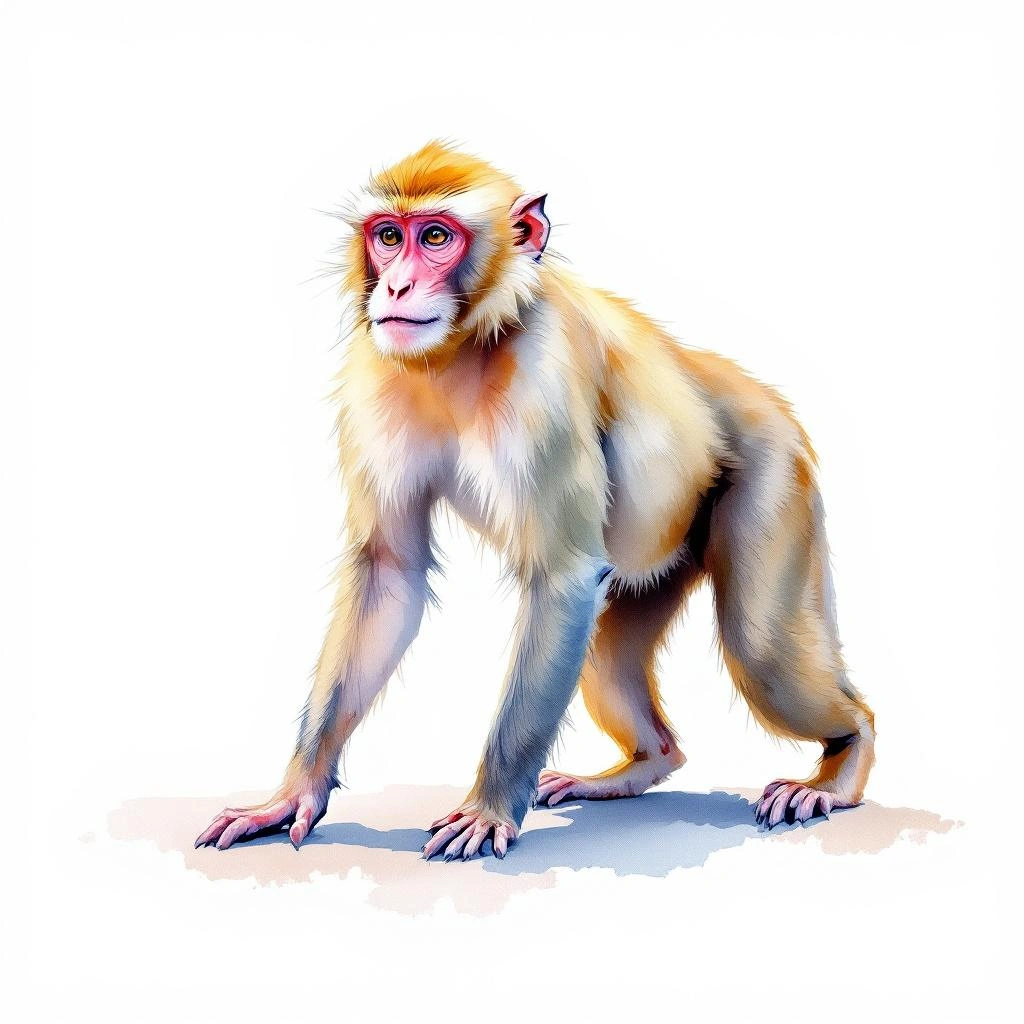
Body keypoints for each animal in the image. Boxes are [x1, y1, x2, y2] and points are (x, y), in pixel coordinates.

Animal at [195, 141, 875, 861]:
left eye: (435, 237)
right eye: (388, 237)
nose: (397, 287)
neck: (461, 347)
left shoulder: (543, 379)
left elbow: (563, 577)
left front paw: (489, 808)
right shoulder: (372, 371)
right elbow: (389, 573)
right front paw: (294, 793)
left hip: (775, 463)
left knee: (760, 644)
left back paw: (844, 758)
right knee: (610, 654)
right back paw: (639, 766)